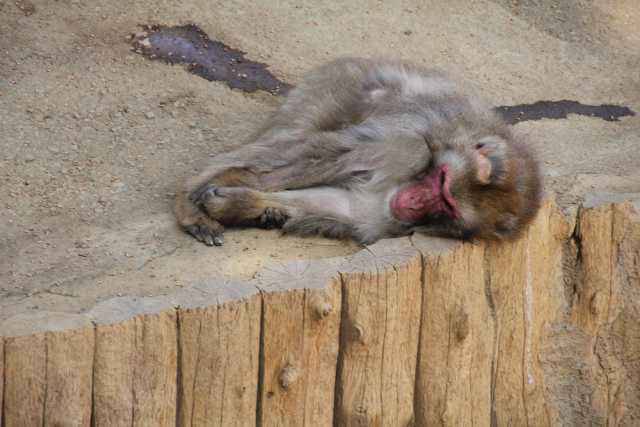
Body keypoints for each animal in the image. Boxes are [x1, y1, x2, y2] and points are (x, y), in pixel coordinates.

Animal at [175, 58, 540, 249]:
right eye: (441, 181)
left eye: (447, 207)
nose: (415, 203)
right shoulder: (408, 142)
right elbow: (329, 154)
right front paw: (218, 193)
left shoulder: (395, 219)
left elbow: (351, 208)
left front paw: (243, 204)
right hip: (333, 90)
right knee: (293, 141)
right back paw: (194, 193)